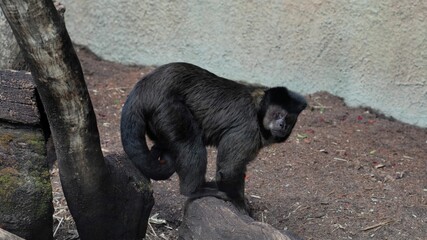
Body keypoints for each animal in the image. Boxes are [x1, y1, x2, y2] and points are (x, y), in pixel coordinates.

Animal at [120, 62, 308, 212]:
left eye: (289, 119)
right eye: (278, 115)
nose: (282, 125)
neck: (257, 110)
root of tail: (145, 86)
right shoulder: (248, 131)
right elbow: (229, 169)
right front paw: (240, 205)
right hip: (168, 109)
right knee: (191, 145)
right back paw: (196, 190)